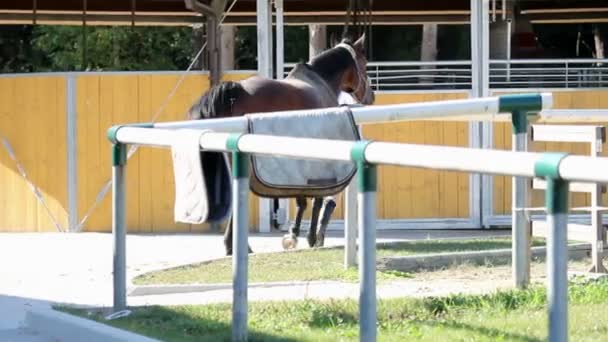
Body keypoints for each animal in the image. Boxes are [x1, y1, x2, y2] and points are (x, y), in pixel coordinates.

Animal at [188, 33, 376, 255]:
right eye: (364, 64)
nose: (371, 96)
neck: (321, 81)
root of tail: (235, 91)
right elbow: (315, 196)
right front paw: (308, 236)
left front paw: (294, 233)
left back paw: (232, 245)